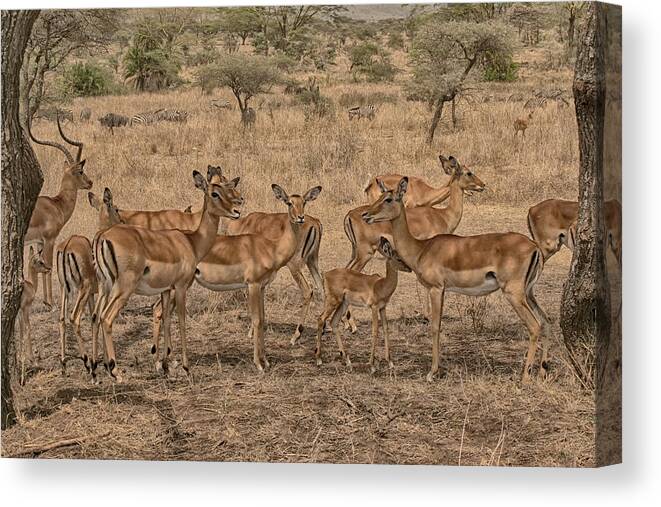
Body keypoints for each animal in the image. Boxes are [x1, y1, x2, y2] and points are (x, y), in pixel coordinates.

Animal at [314, 237, 408, 374]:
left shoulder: (382, 307)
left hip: (343, 303)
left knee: (333, 322)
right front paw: (372, 365)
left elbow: (385, 329)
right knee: (321, 319)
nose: (409, 268)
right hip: (333, 301)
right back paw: (319, 359)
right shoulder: (373, 308)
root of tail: (326, 274)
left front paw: (390, 362)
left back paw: (347, 361)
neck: (381, 285)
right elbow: (375, 330)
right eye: (398, 258)